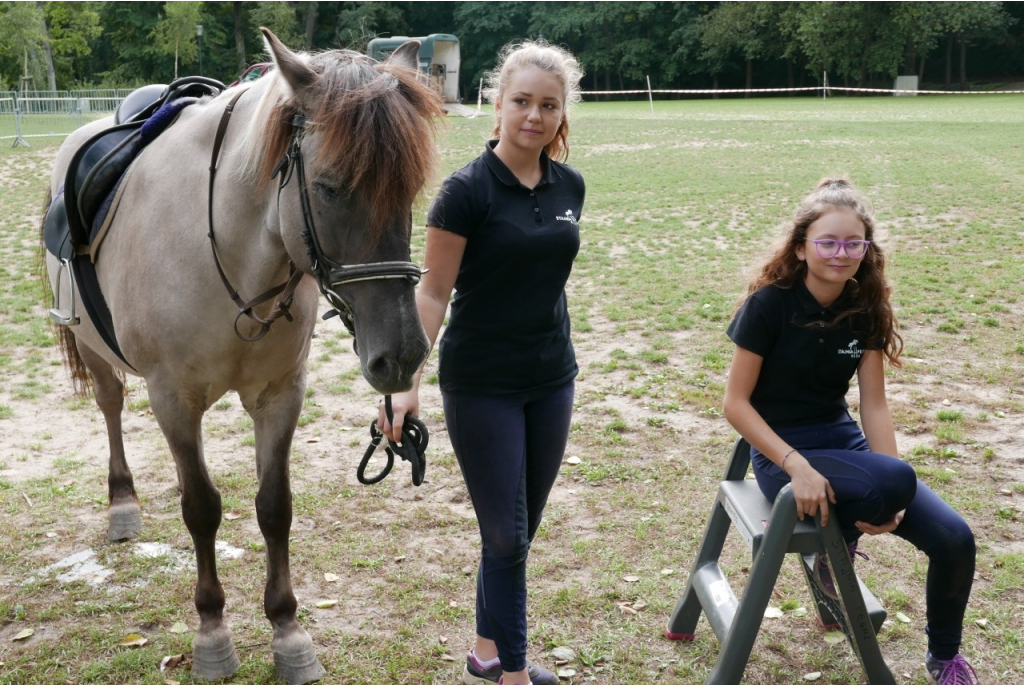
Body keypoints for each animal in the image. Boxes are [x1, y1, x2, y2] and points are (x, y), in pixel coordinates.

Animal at [40, 29, 440, 679]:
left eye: (410, 189)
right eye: (329, 187)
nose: (401, 357)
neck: (229, 251)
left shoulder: (279, 397)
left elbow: (275, 507)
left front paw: (287, 633)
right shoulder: (174, 401)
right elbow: (201, 508)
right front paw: (212, 634)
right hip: (94, 352)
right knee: (110, 406)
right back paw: (122, 503)